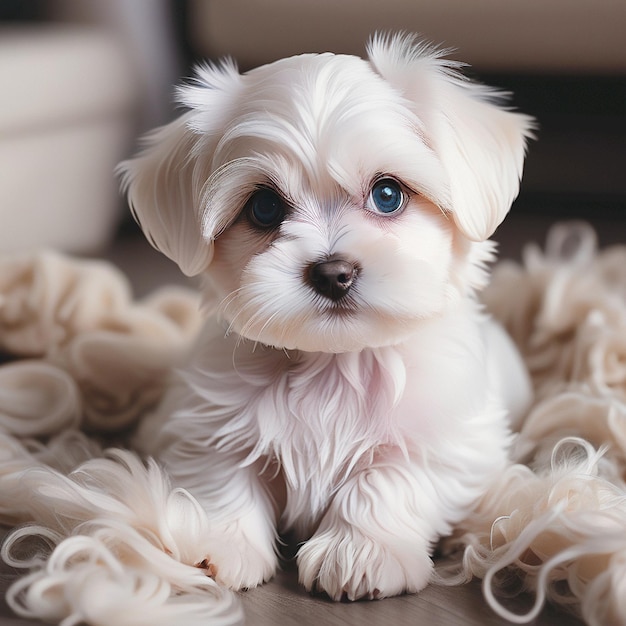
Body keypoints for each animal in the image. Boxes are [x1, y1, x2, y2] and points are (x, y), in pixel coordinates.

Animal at [120, 33, 532, 600]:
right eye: (264, 208)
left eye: (388, 194)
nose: (333, 272)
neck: (333, 364)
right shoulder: (203, 420)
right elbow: (222, 470)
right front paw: (215, 545)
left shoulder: (451, 438)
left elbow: (391, 475)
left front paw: (361, 552)